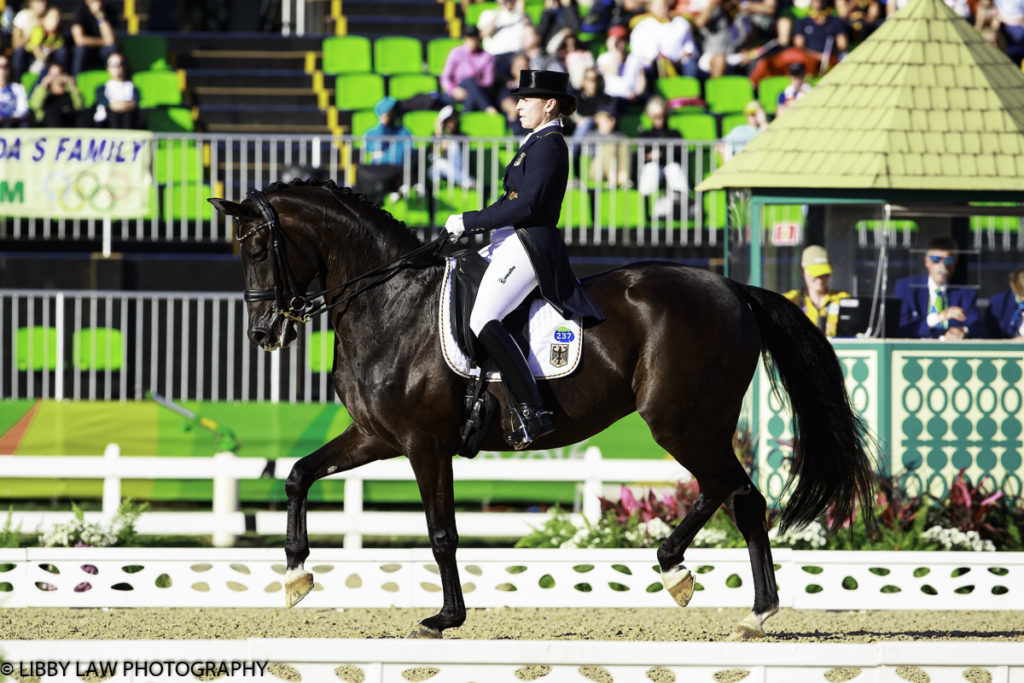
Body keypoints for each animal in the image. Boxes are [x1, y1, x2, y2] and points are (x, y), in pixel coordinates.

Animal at [207, 180, 872, 643]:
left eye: (262, 247)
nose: (265, 334)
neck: (389, 304)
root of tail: (733, 289)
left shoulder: (424, 443)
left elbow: (442, 533)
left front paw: (445, 618)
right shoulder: (376, 436)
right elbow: (298, 475)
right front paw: (295, 575)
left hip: (680, 422)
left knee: (729, 490)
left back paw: (695, 580)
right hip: (699, 424)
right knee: (739, 496)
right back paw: (737, 603)